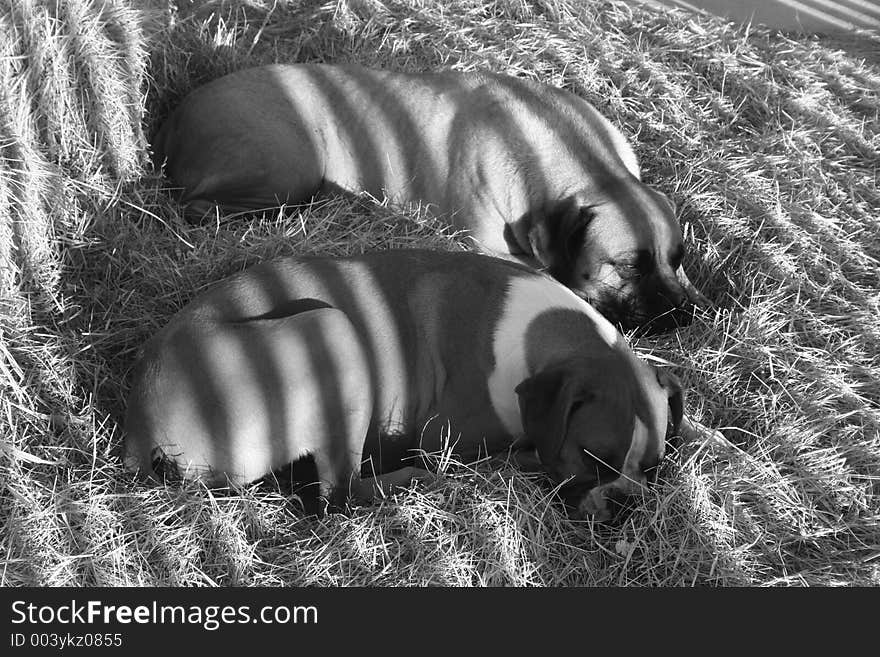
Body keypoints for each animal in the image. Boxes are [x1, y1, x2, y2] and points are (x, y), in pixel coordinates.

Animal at [124, 249, 688, 520]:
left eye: (654, 467)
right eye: (593, 459)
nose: (628, 501)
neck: (539, 330)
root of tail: (141, 421)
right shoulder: (449, 437)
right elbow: (518, 455)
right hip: (334, 330)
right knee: (340, 497)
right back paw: (418, 480)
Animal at [155, 63, 712, 330]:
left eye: (678, 258)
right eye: (629, 266)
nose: (683, 314)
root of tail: (173, 121)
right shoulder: (496, 249)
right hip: (288, 169)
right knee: (202, 208)